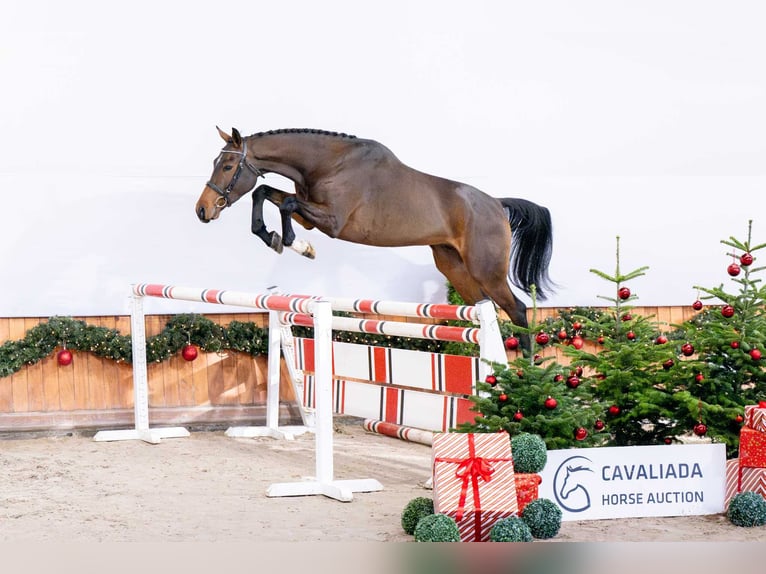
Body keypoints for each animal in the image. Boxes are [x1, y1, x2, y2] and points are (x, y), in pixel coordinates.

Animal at [195, 127, 554, 346]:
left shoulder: (332, 221)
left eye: (227, 166)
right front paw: (273, 237)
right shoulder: (310, 216)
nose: (203, 209)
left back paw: (523, 374)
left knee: (518, 310)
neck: (327, 163)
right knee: (485, 309)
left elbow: (285, 202)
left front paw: (298, 246)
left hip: (486, 270)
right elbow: (266, 193)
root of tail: (496, 205)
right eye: (216, 162)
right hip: (454, 266)